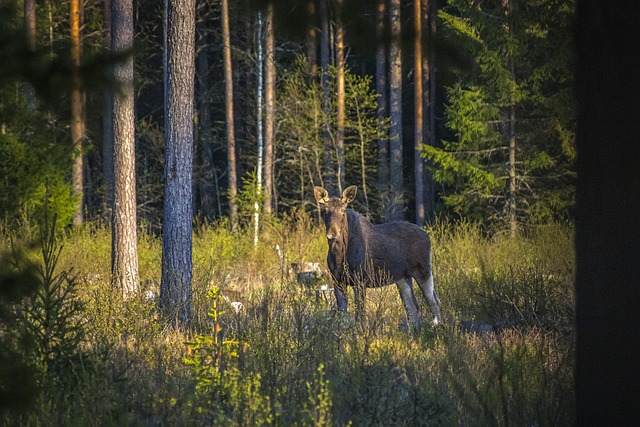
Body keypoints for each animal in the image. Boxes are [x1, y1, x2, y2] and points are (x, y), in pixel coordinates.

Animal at [314, 186, 442, 326]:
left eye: (343, 210)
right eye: (325, 211)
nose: (333, 233)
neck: (339, 254)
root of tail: (427, 236)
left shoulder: (360, 280)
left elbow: (360, 314)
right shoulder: (337, 281)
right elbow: (343, 317)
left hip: (423, 270)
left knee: (434, 302)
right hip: (403, 277)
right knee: (413, 306)